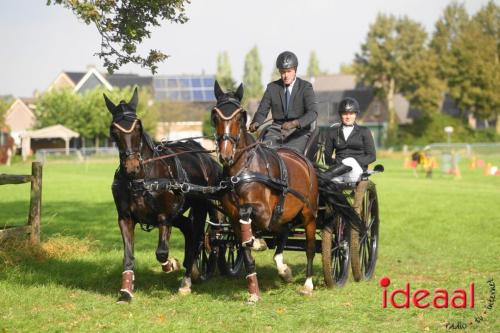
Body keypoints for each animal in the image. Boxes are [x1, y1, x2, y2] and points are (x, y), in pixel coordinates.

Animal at [105, 87, 221, 300]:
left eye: (138, 127)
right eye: (114, 131)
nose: (132, 167)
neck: (141, 180)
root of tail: (206, 157)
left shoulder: (164, 217)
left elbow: (161, 252)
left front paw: (171, 264)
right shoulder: (125, 218)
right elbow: (128, 255)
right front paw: (126, 291)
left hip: (199, 207)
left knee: (197, 237)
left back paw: (186, 280)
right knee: (189, 229)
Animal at [210, 81, 318, 304]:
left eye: (240, 117)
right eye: (215, 117)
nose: (225, 155)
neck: (241, 171)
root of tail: (306, 162)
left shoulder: (264, 212)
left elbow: (249, 222)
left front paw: (257, 242)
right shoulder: (234, 217)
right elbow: (245, 250)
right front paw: (253, 293)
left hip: (308, 215)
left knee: (310, 247)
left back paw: (308, 285)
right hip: (284, 214)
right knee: (283, 232)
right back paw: (283, 270)